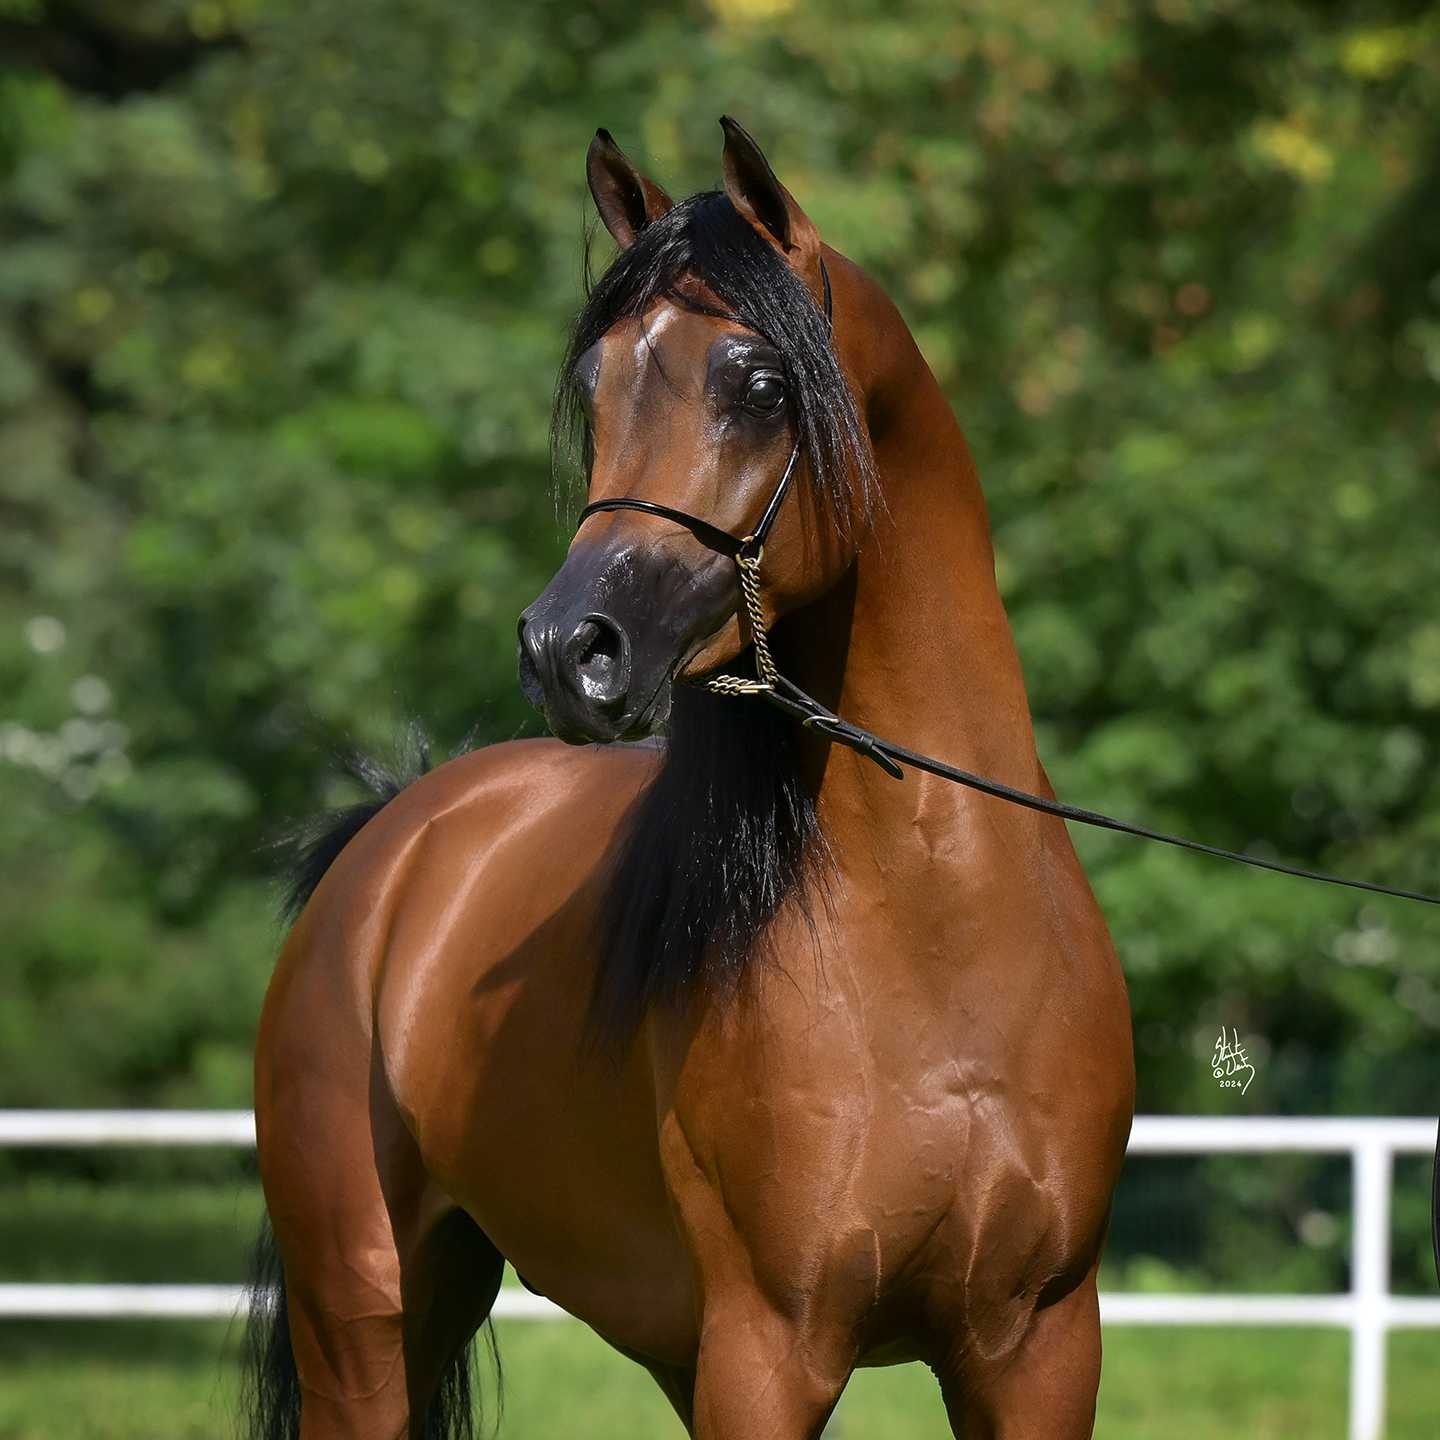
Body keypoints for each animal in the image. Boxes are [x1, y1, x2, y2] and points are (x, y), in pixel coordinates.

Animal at [246, 118, 1135, 1440]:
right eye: (597, 389)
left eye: (761, 386)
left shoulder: (1038, 1349)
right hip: (359, 1315)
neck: (947, 926)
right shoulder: (769, 1351)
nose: (567, 650)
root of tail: (395, 837)